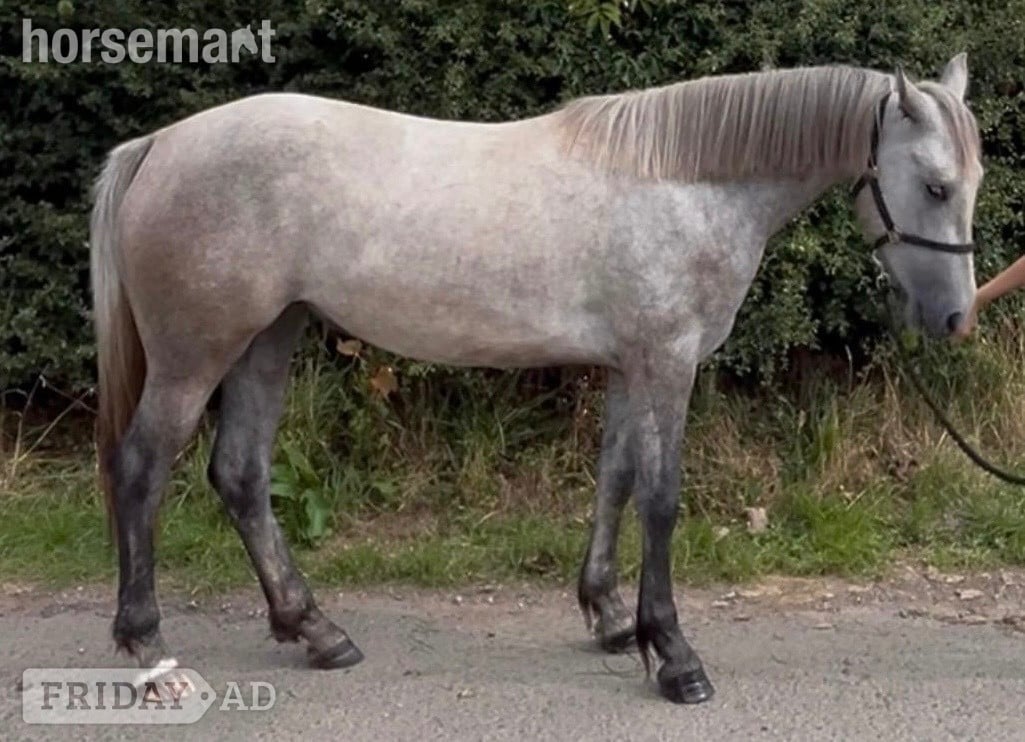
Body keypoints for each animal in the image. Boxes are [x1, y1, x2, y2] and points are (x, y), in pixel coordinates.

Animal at [90, 55, 982, 704]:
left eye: (969, 185)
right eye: (933, 185)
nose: (953, 319)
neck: (686, 183)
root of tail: (159, 146)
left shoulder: (629, 366)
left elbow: (614, 480)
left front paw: (611, 619)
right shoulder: (666, 362)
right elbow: (660, 499)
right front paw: (675, 656)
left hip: (266, 339)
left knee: (240, 474)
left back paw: (316, 631)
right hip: (195, 354)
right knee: (142, 470)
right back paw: (150, 649)